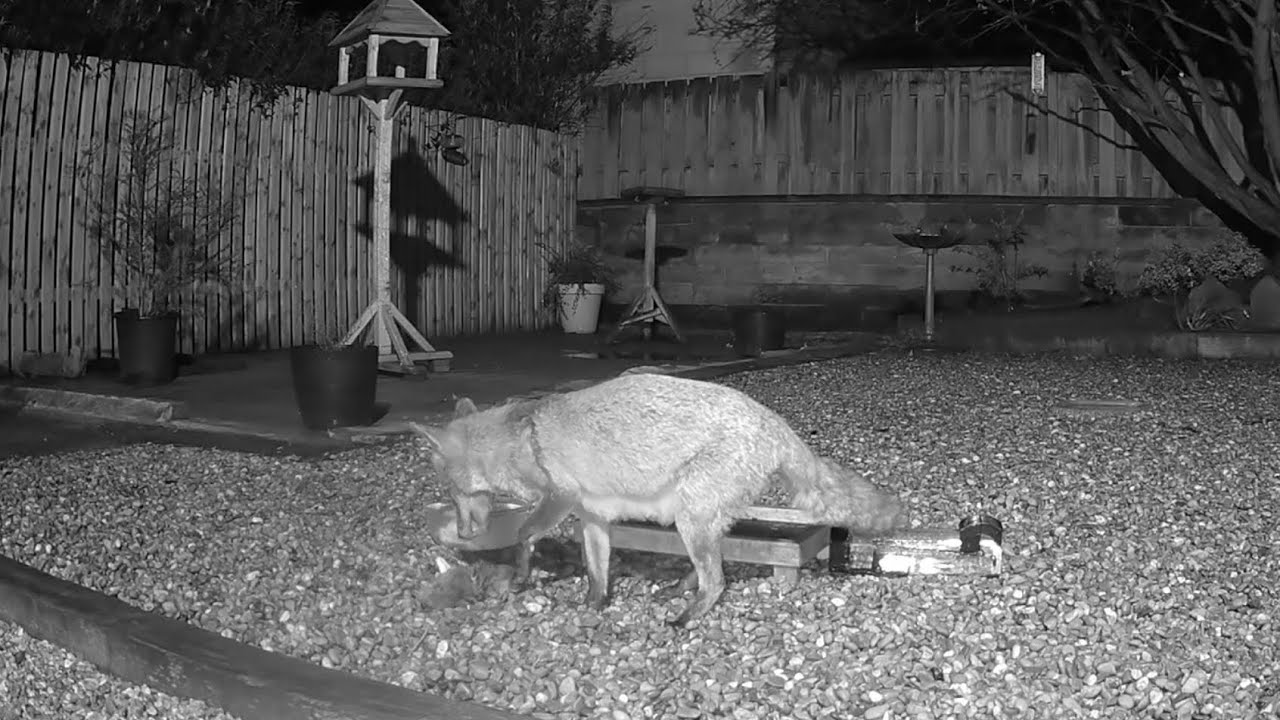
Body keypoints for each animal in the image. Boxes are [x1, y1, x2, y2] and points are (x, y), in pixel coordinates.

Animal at [410, 372, 909, 628]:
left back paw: (686, 617)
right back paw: (681, 589)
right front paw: (594, 607)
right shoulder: (592, 518)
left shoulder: (560, 496)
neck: (523, 439)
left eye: (451, 491)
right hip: (692, 518)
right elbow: (596, 570)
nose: (466, 533)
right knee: (714, 566)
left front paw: (520, 575)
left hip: (691, 514)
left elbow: (524, 534)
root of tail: (775, 423)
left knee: (718, 581)